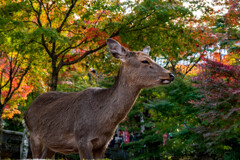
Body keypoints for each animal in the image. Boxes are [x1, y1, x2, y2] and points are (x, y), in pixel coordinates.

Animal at [24, 38, 174, 159]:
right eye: (144, 61)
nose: (170, 74)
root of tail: (27, 110)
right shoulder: (82, 138)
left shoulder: (103, 144)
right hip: (34, 135)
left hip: (51, 144)